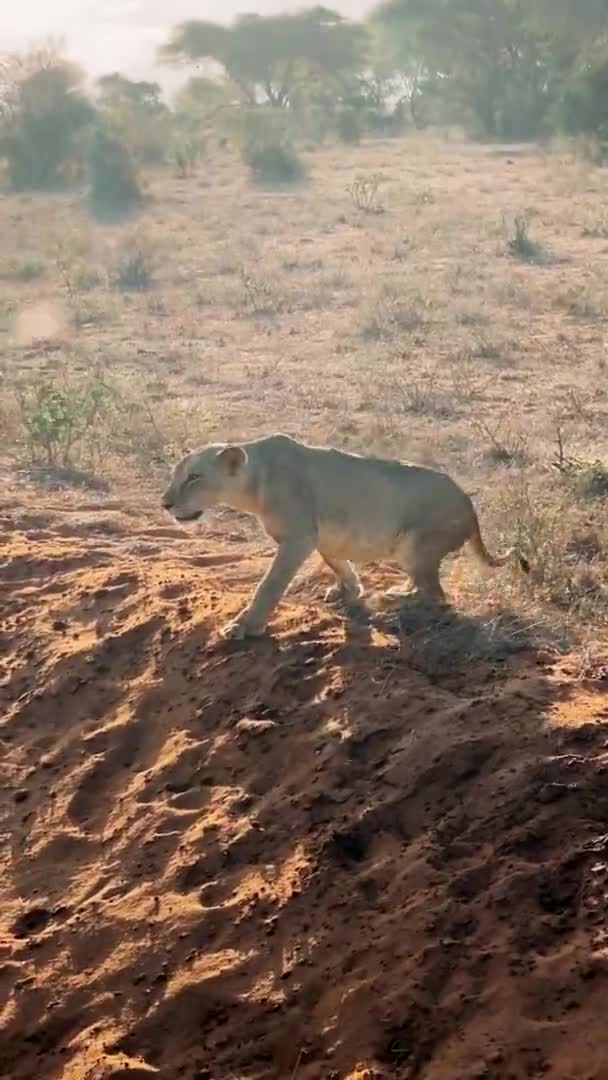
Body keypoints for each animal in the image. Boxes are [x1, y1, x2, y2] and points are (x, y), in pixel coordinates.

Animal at [163, 432, 529, 635]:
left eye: (194, 477)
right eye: (175, 475)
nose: (165, 503)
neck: (253, 483)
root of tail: (471, 508)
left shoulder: (298, 537)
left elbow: (269, 586)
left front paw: (244, 626)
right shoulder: (321, 535)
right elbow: (338, 563)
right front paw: (348, 589)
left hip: (417, 544)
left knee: (437, 596)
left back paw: (394, 599)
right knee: (426, 586)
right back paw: (398, 590)